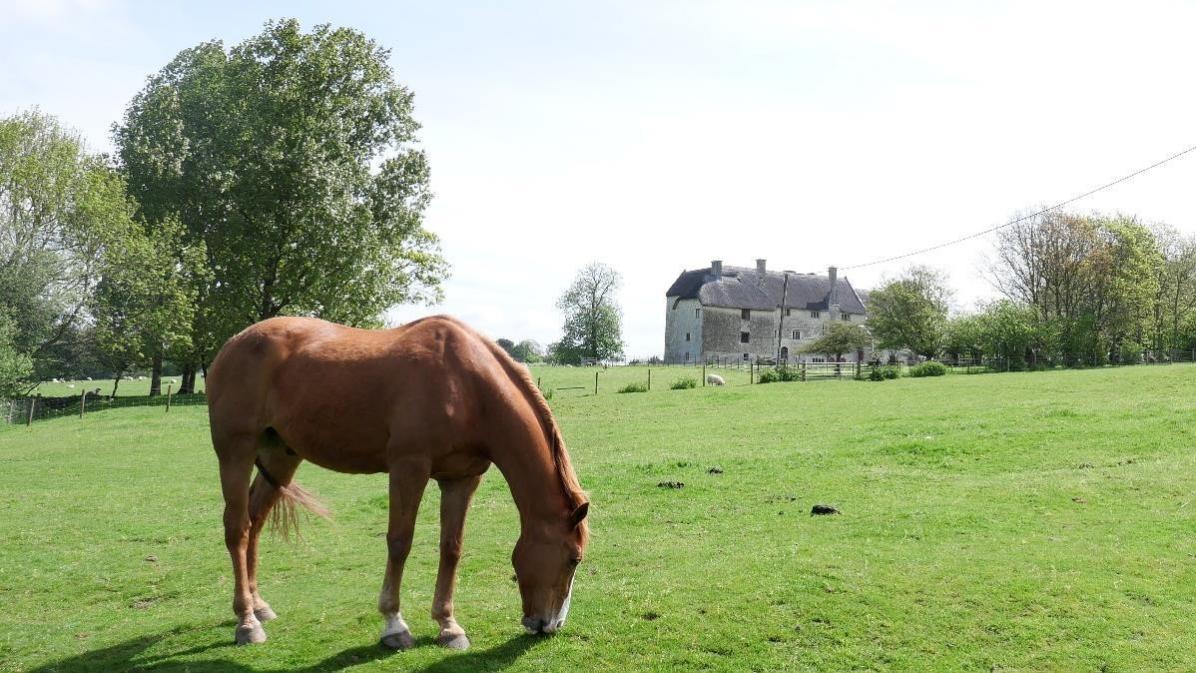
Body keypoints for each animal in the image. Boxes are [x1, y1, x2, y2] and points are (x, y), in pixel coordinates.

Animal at [206, 315, 590, 650]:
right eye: (574, 558)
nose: (551, 625)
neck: (466, 384)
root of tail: (234, 343)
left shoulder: (461, 479)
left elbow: (451, 548)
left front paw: (449, 626)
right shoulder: (409, 468)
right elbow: (400, 542)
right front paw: (394, 625)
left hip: (280, 456)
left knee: (255, 521)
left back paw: (259, 606)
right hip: (236, 452)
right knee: (237, 529)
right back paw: (246, 622)